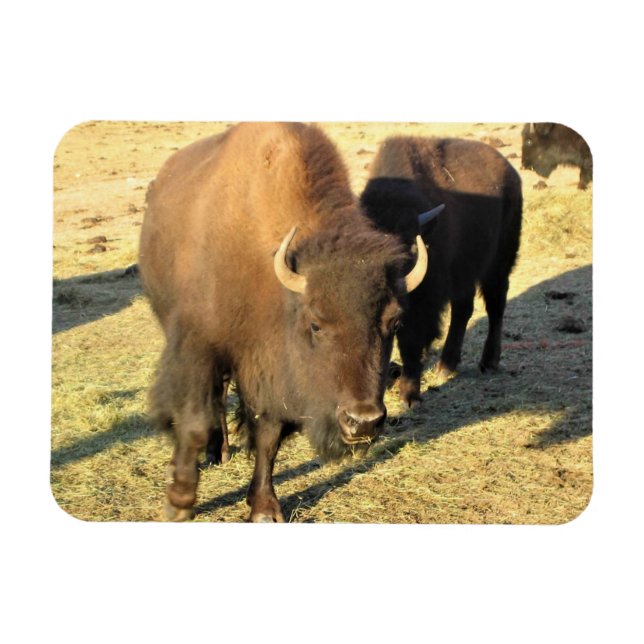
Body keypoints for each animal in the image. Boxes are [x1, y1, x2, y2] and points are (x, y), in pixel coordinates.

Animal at [139, 123, 427, 522]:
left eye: (395, 323)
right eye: (316, 323)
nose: (363, 421)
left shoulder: (267, 370)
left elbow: (268, 436)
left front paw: (263, 508)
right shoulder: (199, 347)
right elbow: (193, 422)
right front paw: (178, 503)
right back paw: (213, 453)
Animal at [360, 136, 523, 406]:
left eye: (409, 243)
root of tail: (511, 173)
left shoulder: (424, 304)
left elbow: (411, 342)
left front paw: (410, 396)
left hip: (498, 264)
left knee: (495, 306)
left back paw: (488, 362)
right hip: (465, 274)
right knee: (463, 310)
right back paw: (446, 365)